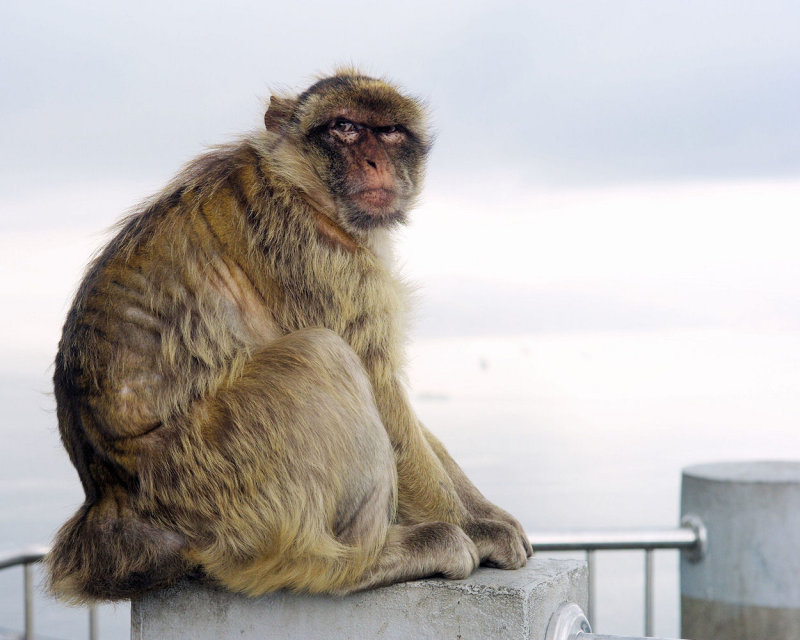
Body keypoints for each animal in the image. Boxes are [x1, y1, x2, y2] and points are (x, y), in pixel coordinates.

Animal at [45, 71, 532, 604]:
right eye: (344, 127)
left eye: (389, 132)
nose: (375, 161)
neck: (305, 188)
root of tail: (110, 503)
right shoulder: (318, 256)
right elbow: (379, 388)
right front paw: (473, 526)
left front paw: (489, 515)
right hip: (212, 477)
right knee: (320, 356)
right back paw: (356, 562)